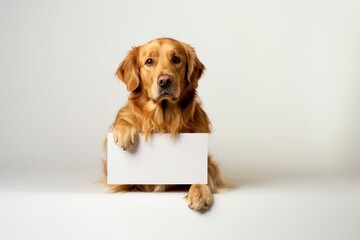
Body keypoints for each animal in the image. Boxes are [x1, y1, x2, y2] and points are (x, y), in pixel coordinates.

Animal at [104, 37, 228, 210]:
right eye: (149, 61)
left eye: (176, 59)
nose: (164, 81)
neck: (163, 119)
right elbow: (124, 117)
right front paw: (124, 132)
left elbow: (204, 171)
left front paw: (200, 191)